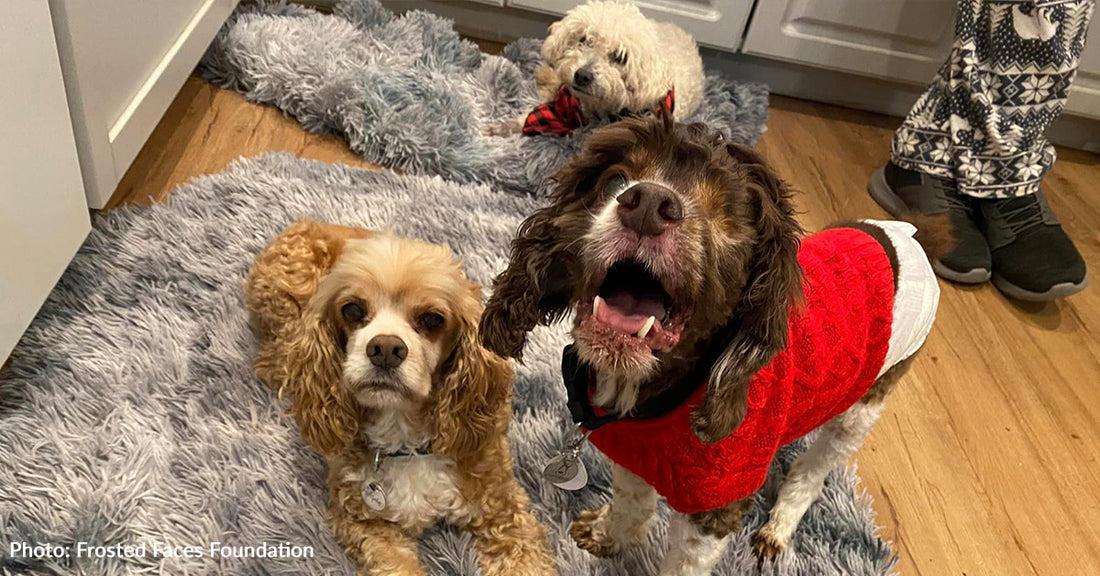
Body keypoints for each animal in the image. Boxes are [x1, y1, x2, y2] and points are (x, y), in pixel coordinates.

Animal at [250, 220, 558, 576]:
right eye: (352, 310)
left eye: (432, 319)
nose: (385, 348)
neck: (406, 438)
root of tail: (302, 223)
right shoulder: (361, 519)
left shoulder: (503, 509)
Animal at [479, 119, 937, 571]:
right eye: (616, 179)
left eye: (727, 216)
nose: (648, 203)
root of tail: (907, 237)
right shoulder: (636, 456)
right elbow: (631, 502)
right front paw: (609, 536)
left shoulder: (712, 513)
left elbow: (684, 561)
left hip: (862, 410)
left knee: (813, 470)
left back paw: (778, 527)